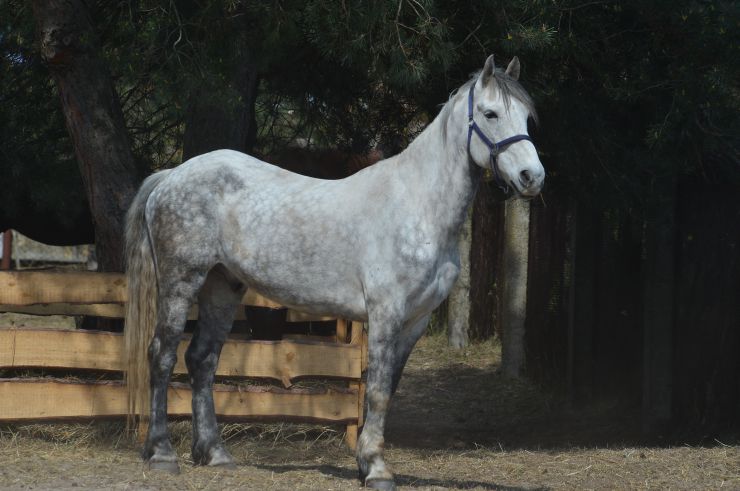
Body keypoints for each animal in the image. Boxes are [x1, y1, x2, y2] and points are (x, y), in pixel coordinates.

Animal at [123, 54, 544, 491]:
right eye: (491, 113)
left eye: (527, 117)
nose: (533, 177)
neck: (417, 206)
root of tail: (171, 176)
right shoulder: (385, 313)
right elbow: (376, 390)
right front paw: (375, 468)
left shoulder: (416, 320)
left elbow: (388, 387)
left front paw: (366, 462)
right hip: (180, 282)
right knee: (162, 354)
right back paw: (161, 453)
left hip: (222, 286)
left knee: (202, 359)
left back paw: (215, 453)